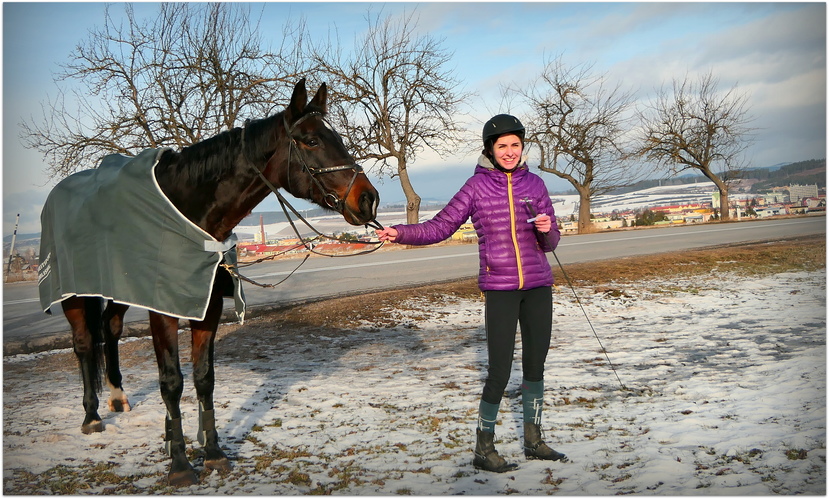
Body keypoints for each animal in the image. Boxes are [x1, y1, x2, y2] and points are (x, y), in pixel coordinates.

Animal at [36, 79, 378, 488]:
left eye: (337, 137)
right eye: (310, 140)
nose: (368, 199)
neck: (187, 214)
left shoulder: (208, 309)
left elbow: (204, 378)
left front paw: (212, 451)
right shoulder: (163, 310)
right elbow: (171, 381)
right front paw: (180, 463)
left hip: (120, 288)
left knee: (111, 328)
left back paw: (118, 396)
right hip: (73, 295)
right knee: (85, 343)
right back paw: (92, 416)